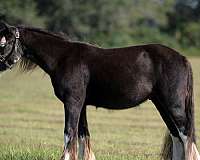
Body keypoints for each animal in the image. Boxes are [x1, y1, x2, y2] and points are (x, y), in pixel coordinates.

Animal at [0, 21, 200, 160]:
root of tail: (182, 58)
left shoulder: (72, 103)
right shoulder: (81, 105)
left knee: (186, 135)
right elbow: (82, 136)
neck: (63, 58)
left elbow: (69, 133)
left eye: (3, 43)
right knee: (177, 136)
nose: (0, 65)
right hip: (162, 105)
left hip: (173, 105)